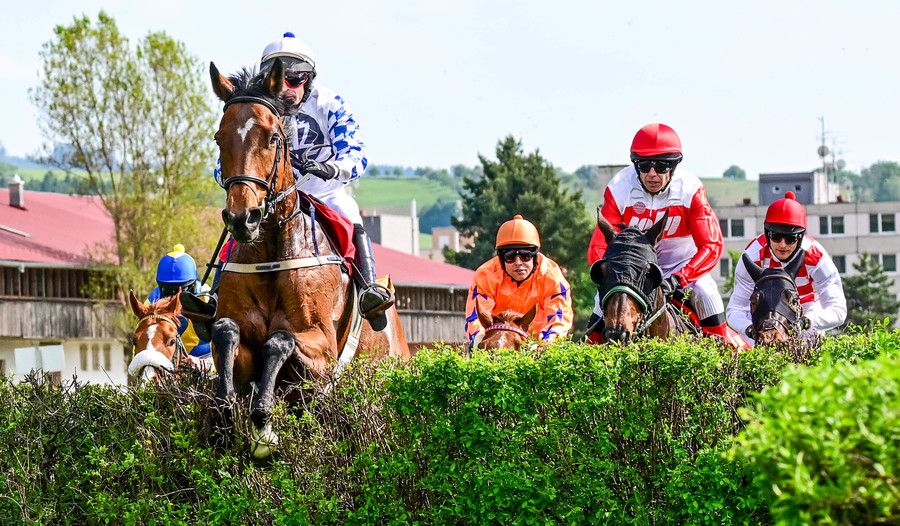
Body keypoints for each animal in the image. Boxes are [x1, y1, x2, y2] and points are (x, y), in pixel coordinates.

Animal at [208, 59, 410, 458]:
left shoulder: (323, 352)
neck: (272, 249)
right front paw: (226, 410)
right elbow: (225, 331)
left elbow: (280, 339)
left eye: (273, 137)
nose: (243, 218)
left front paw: (264, 423)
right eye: (220, 138)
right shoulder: (241, 345)